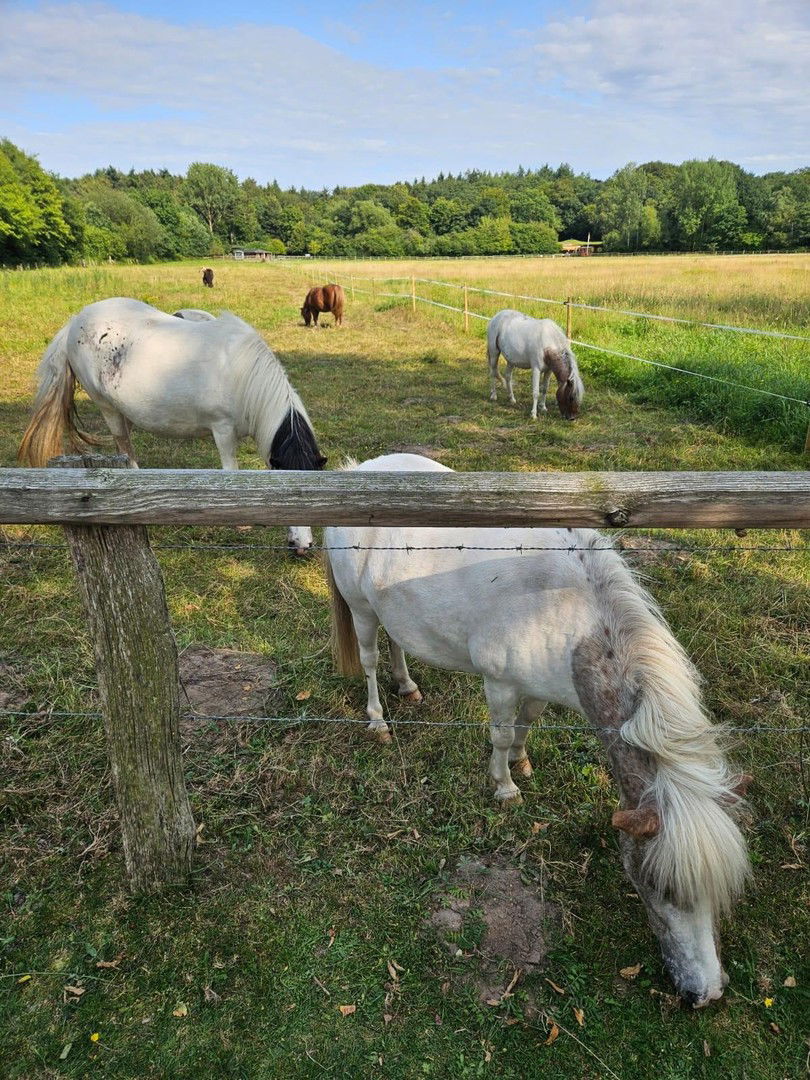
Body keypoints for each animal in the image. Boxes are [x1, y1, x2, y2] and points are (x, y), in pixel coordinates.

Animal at [18, 298, 326, 557]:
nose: (303, 547)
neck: (241, 373)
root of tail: (75, 321)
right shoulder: (223, 430)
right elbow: (231, 472)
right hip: (108, 408)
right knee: (123, 445)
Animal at [321, 451, 747, 1006]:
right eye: (660, 888)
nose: (706, 993)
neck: (564, 608)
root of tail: (356, 470)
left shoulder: (539, 686)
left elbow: (527, 725)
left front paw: (523, 763)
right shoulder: (500, 683)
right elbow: (501, 734)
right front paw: (504, 787)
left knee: (397, 645)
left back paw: (408, 685)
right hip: (362, 610)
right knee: (371, 658)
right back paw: (378, 721)